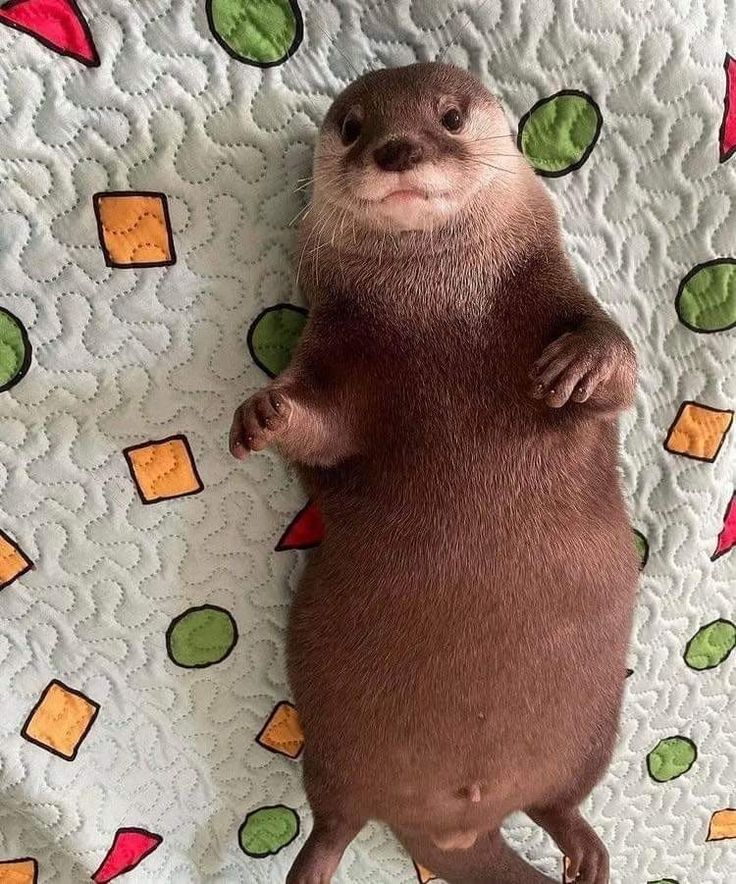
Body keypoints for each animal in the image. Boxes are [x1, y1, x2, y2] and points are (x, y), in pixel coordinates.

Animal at [230, 62, 640, 884]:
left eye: (449, 117)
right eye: (352, 126)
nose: (396, 148)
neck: (440, 305)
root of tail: (455, 825)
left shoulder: (557, 295)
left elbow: (621, 365)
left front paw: (581, 364)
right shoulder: (338, 354)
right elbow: (322, 427)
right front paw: (264, 412)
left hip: (590, 741)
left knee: (558, 800)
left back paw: (585, 849)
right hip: (335, 751)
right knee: (334, 817)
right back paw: (311, 866)